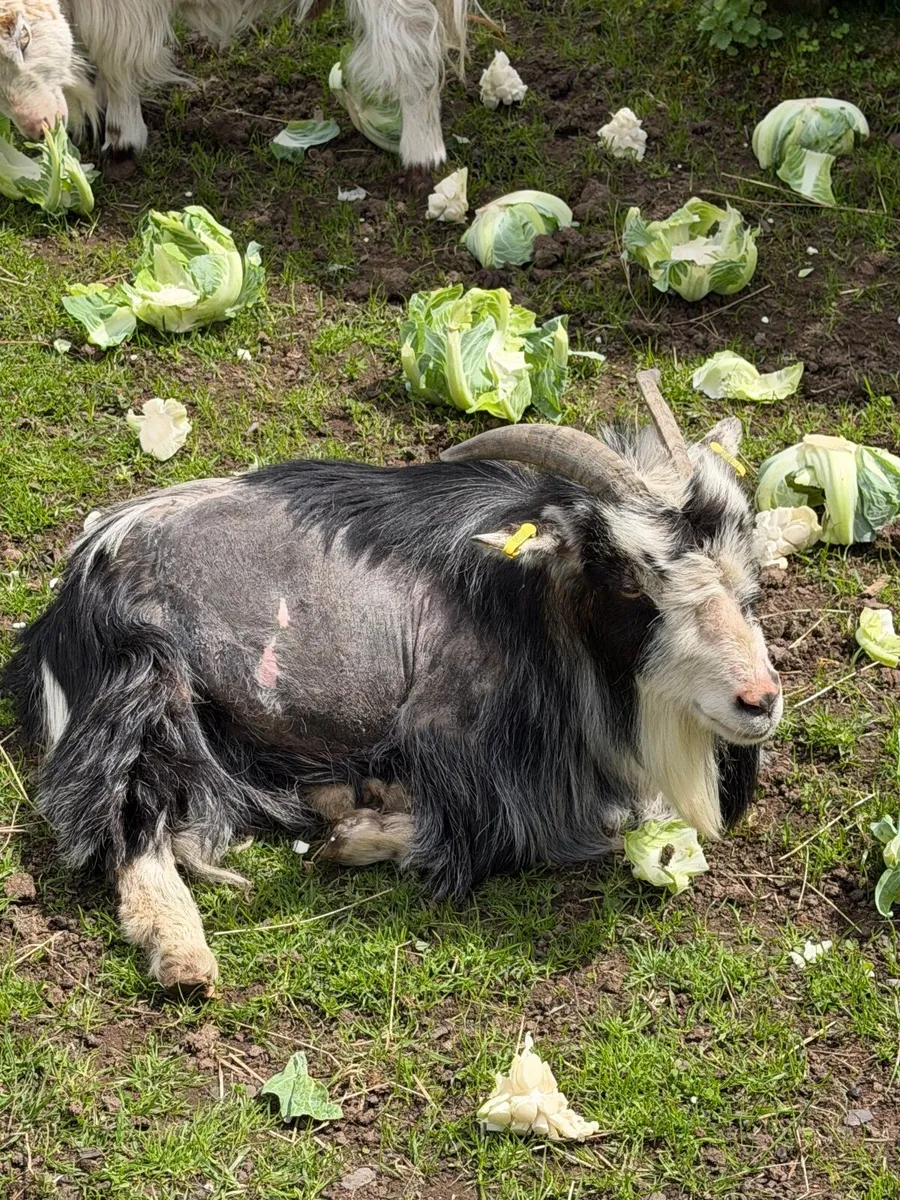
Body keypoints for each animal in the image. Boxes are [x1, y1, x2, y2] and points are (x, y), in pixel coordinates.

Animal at [0, 0, 466, 169]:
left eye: (23, 38)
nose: (38, 126)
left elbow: (116, 61)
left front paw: (122, 139)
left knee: (416, 53)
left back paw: (422, 159)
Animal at [3, 374, 783, 998]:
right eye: (629, 580)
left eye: (746, 565)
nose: (759, 700)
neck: (529, 607)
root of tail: (75, 588)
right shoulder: (455, 735)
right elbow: (520, 828)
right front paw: (358, 836)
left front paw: (361, 813)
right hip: (147, 685)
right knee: (126, 817)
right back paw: (181, 952)